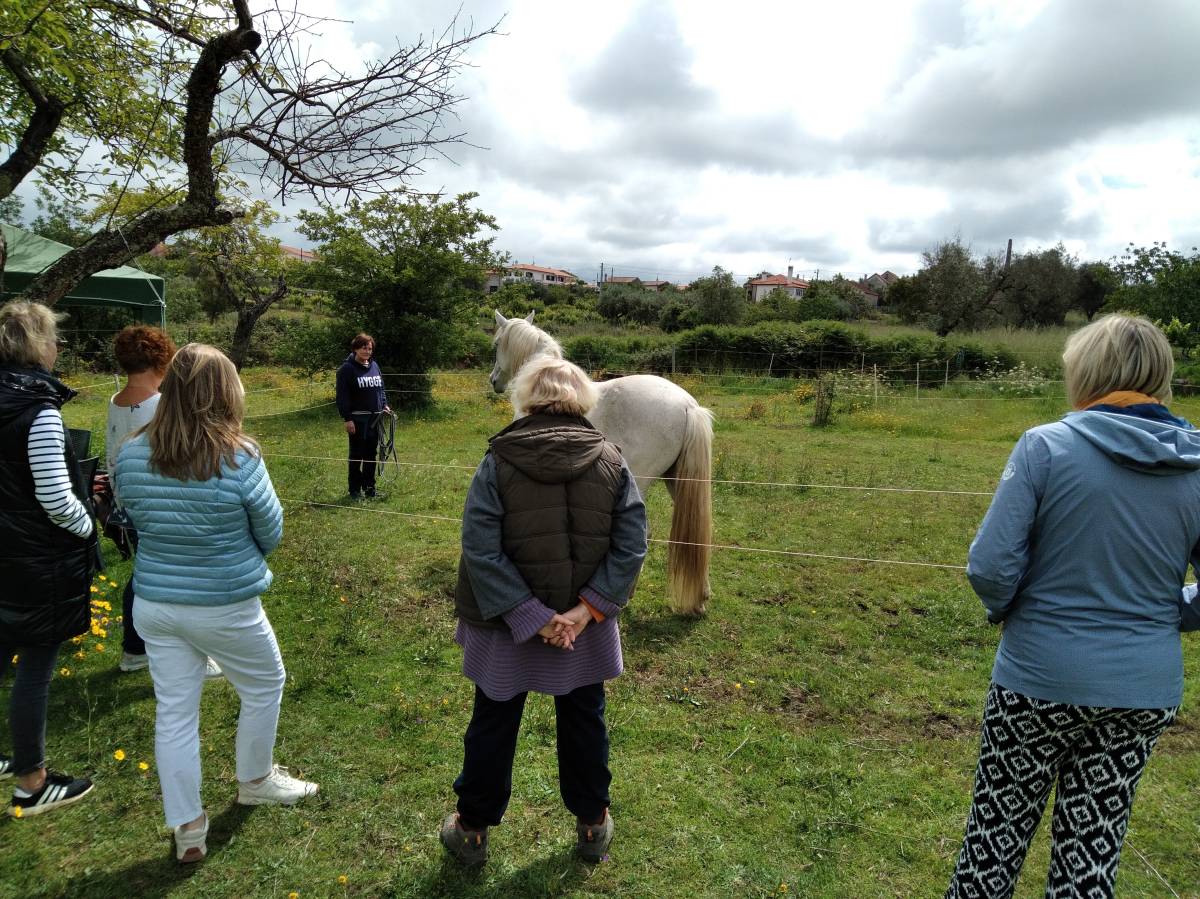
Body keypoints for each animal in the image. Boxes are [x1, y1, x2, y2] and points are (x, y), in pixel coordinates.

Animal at [489, 309, 710, 619]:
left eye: (497, 344)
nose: (493, 381)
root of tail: (689, 405)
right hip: (677, 481)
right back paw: (701, 599)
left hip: (640, 482)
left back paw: (625, 596)